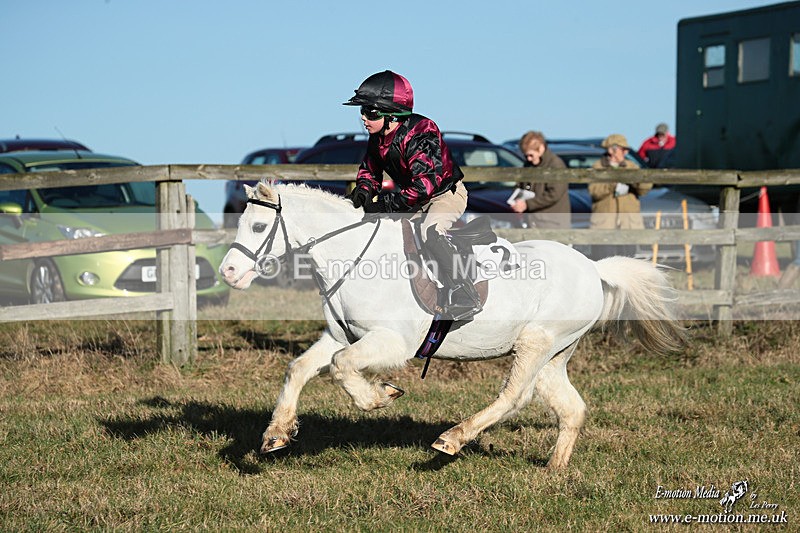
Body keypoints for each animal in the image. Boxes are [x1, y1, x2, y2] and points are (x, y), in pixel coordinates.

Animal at [219, 181, 684, 468]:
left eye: (258, 225)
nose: (228, 272)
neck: (355, 255)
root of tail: (593, 267)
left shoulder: (393, 341)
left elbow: (342, 367)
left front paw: (380, 395)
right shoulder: (339, 336)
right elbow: (300, 368)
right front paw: (276, 435)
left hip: (535, 342)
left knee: (514, 397)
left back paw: (453, 438)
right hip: (555, 354)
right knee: (570, 407)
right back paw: (554, 470)